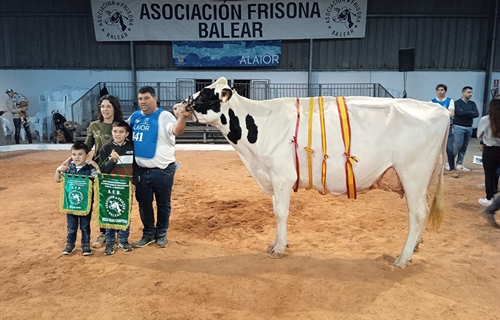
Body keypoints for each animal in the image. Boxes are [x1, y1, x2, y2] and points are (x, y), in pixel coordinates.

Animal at [178, 77, 452, 268]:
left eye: (204, 94)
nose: (179, 105)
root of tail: (440, 110)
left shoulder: (282, 176)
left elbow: (280, 212)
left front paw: (279, 248)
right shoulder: (273, 177)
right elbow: (276, 211)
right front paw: (276, 243)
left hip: (413, 172)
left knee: (417, 213)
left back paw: (402, 258)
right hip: (424, 178)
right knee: (422, 211)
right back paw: (414, 249)